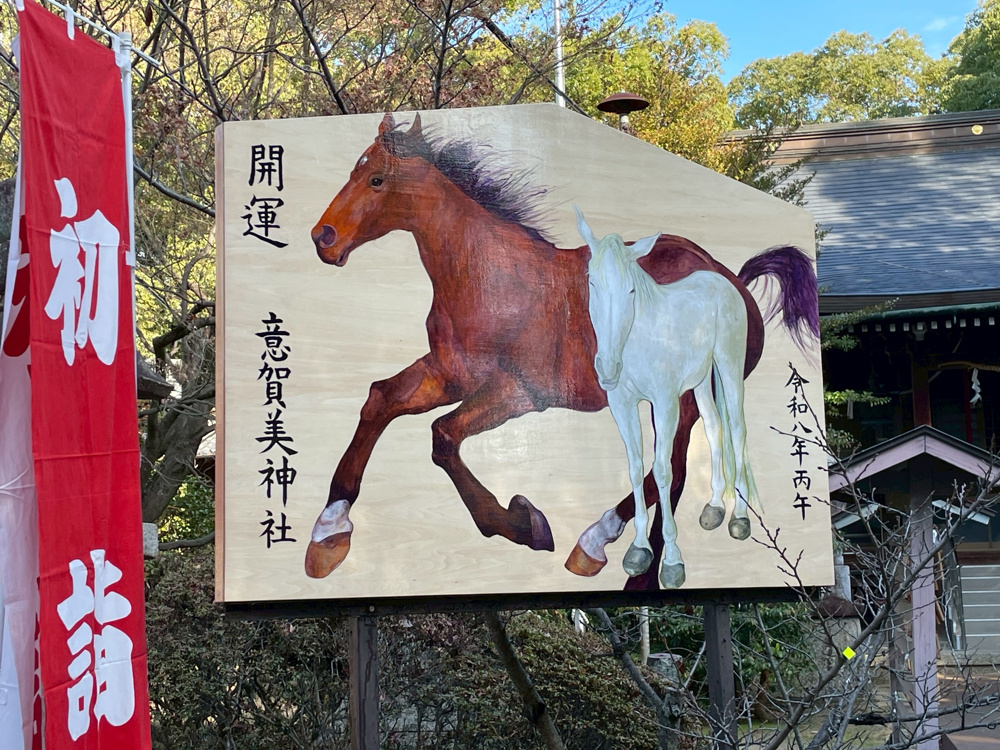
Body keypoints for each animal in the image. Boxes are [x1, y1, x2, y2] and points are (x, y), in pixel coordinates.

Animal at [575, 208, 762, 589]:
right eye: (593, 283)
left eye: (631, 289)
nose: (608, 368)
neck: (637, 341)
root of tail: (721, 280)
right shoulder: (623, 407)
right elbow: (635, 469)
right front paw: (638, 550)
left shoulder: (664, 405)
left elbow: (662, 470)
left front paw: (672, 562)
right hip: (703, 380)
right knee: (714, 427)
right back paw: (714, 507)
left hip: (729, 367)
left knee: (737, 429)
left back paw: (739, 517)